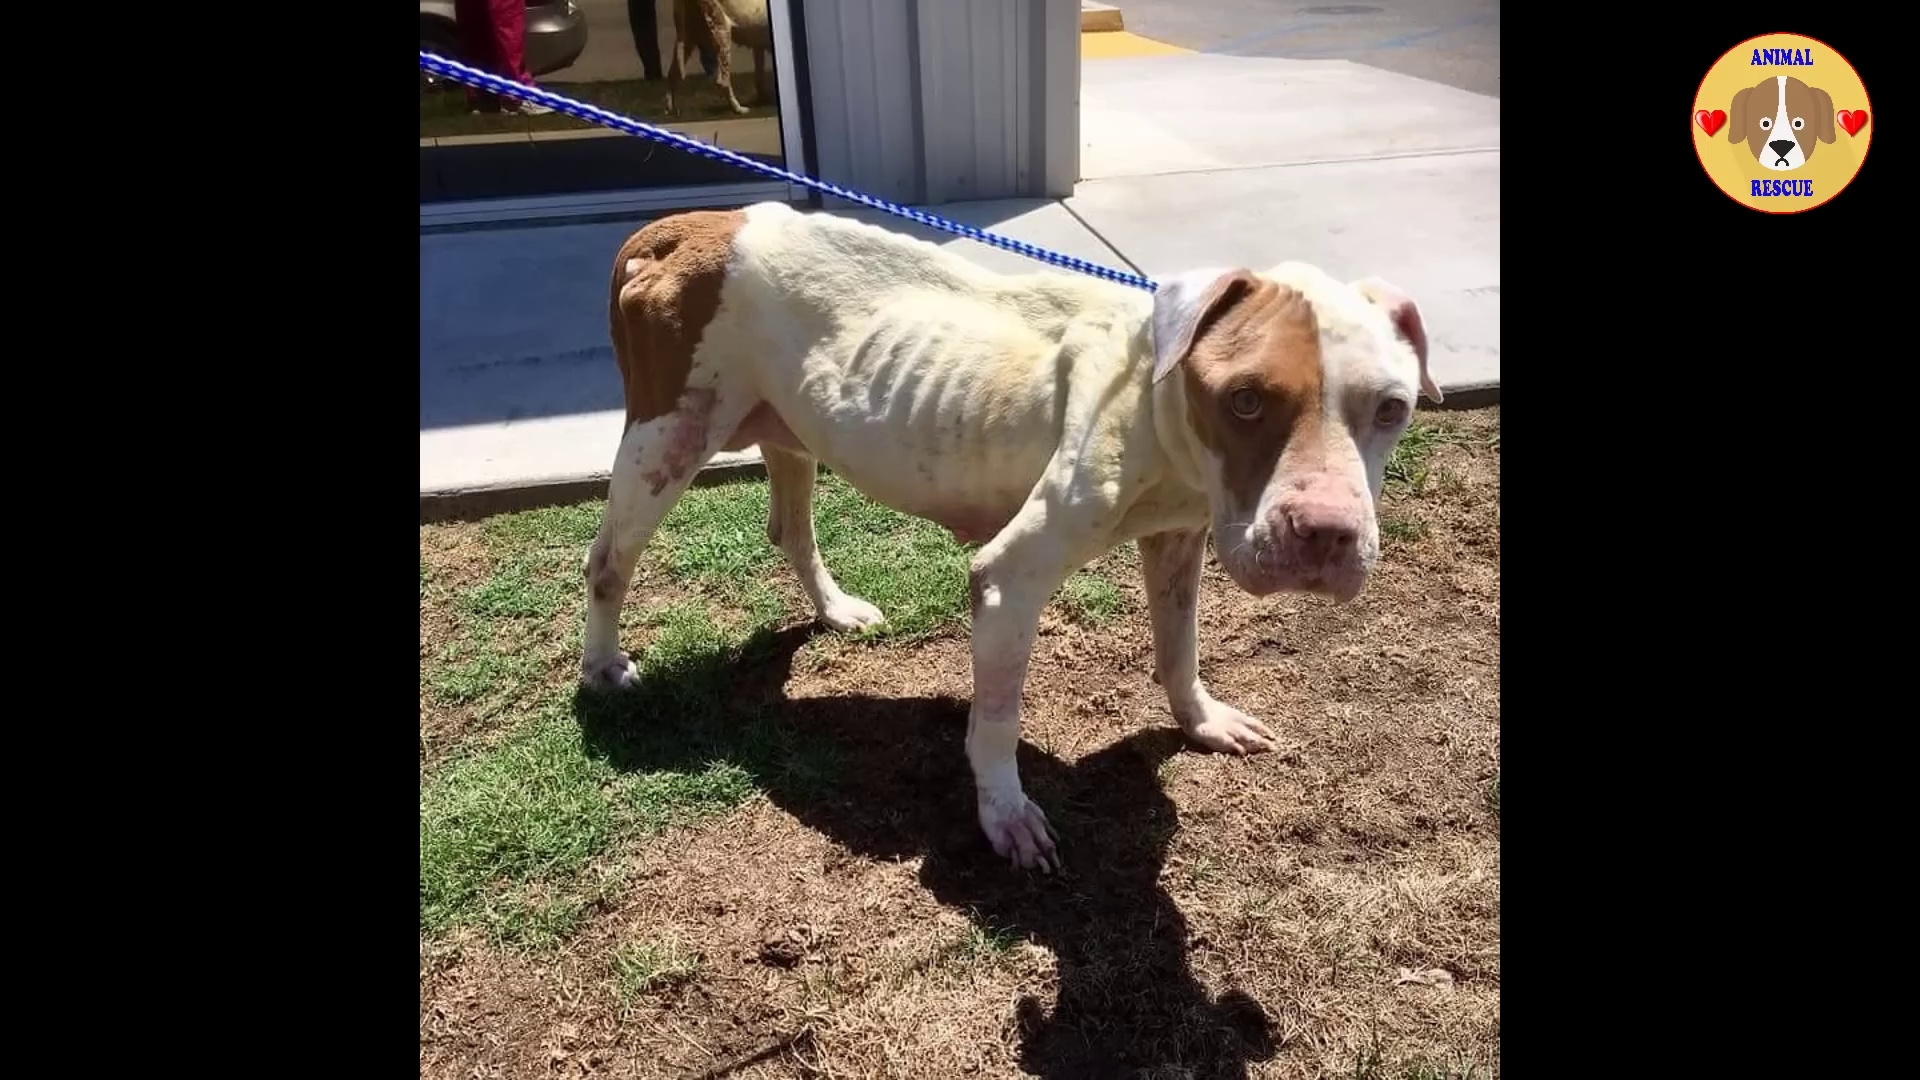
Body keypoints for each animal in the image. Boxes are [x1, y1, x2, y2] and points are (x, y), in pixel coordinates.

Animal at [582, 203, 1443, 871]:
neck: (1155, 399)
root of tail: (693, 225)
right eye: (1246, 400)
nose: (1326, 534)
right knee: (607, 561)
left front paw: (1201, 720)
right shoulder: (1009, 579)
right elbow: (997, 717)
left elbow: (1180, 647)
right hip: (664, 442)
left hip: (787, 431)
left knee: (790, 527)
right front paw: (1004, 813)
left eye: (1392, 408)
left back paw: (835, 610)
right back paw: (602, 667)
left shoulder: (1178, 540)